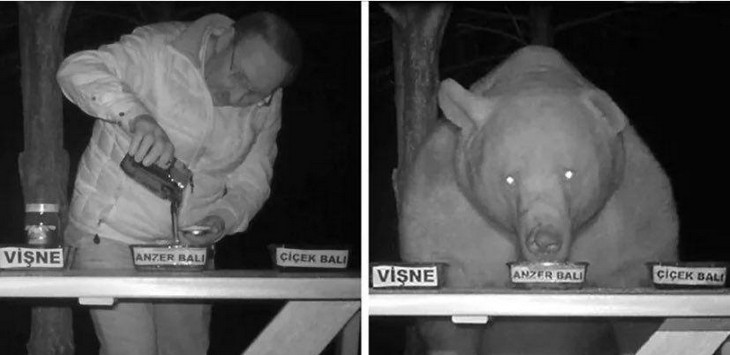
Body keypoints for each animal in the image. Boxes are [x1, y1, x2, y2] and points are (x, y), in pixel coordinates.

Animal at [398, 45, 676, 355]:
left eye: (569, 173)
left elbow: (637, 311)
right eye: (509, 179)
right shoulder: (449, 212)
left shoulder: (630, 216)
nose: (544, 241)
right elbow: (450, 321)